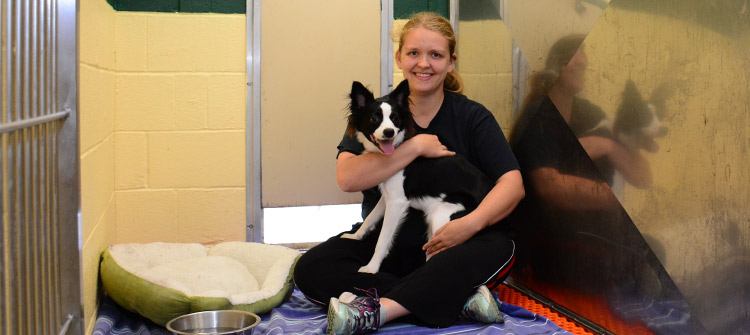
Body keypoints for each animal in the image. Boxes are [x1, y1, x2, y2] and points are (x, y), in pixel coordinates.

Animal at [344, 80, 496, 274]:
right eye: (374, 118)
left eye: (395, 118)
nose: (389, 132)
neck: (397, 150)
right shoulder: (388, 197)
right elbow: (371, 217)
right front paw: (356, 236)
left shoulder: (397, 203)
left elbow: (383, 239)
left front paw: (371, 267)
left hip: (443, 220)